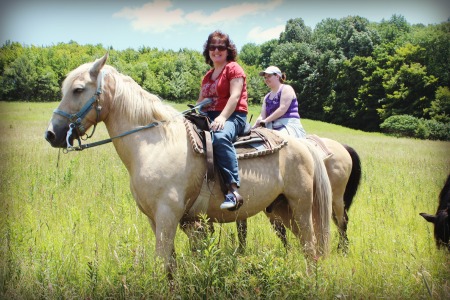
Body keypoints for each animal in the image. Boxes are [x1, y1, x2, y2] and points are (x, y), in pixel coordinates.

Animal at [44, 54, 334, 276]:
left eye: (78, 89)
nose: (51, 134)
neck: (154, 143)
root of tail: (303, 145)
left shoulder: (167, 215)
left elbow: (161, 264)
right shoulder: (156, 219)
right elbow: (170, 266)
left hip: (301, 206)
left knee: (310, 247)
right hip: (283, 209)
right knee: (308, 248)